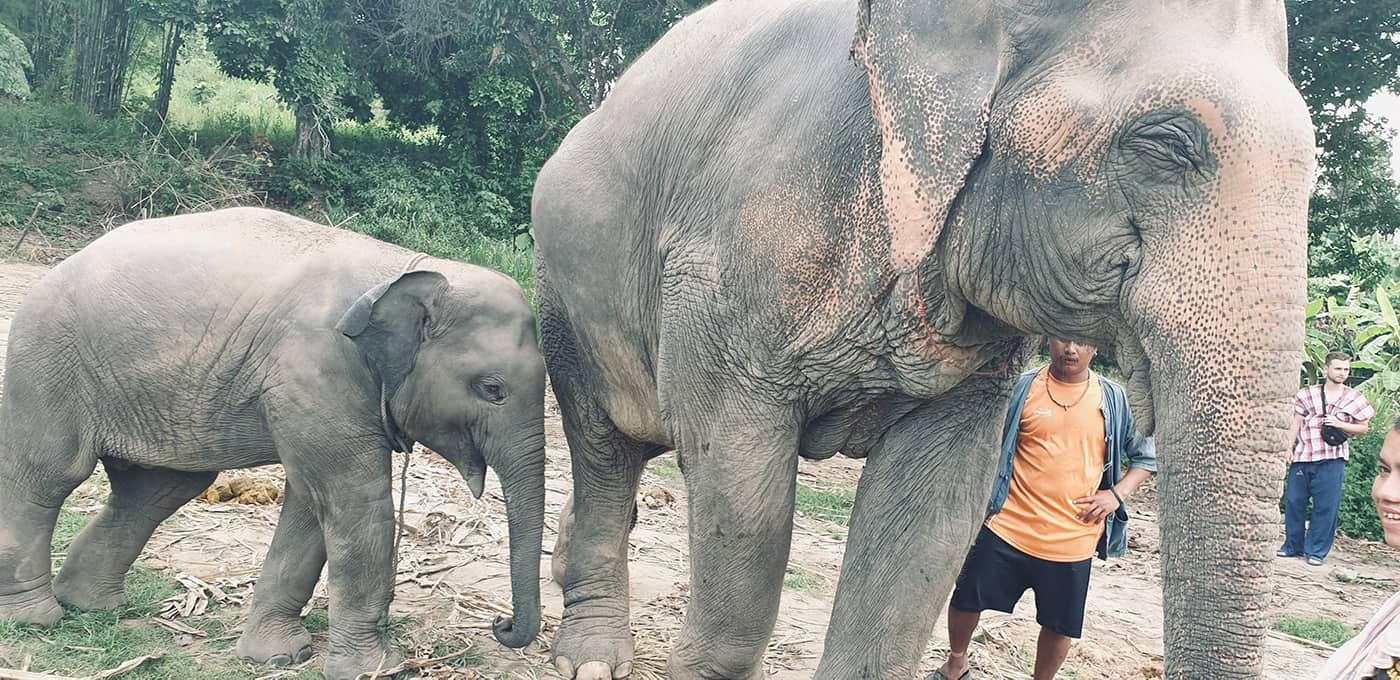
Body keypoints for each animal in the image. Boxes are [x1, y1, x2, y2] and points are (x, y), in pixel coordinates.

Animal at [0, 207, 546, 679]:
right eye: (492, 389)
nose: (500, 624)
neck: (409, 267)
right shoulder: (316, 371)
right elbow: (353, 504)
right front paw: (374, 670)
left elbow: (309, 504)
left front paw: (279, 657)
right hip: (47, 360)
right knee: (49, 476)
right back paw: (34, 618)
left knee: (155, 490)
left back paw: (92, 605)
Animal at [531, 0, 1313, 678]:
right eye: (1167, 143)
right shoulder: (731, 254)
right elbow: (740, 483)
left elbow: (932, 511)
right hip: (562, 291)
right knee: (602, 446)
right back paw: (592, 657)